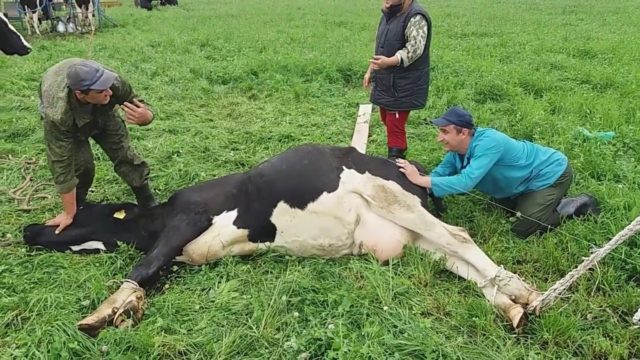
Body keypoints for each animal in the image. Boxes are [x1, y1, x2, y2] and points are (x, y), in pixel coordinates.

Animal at [22, 143, 536, 338]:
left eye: (75, 211)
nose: (28, 230)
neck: (158, 217)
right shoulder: (184, 252)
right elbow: (154, 274)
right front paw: (127, 308)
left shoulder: (189, 218)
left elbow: (142, 267)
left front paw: (103, 312)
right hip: (409, 235)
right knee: (456, 260)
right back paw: (510, 305)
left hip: (390, 198)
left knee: (460, 238)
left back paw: (522, 291)